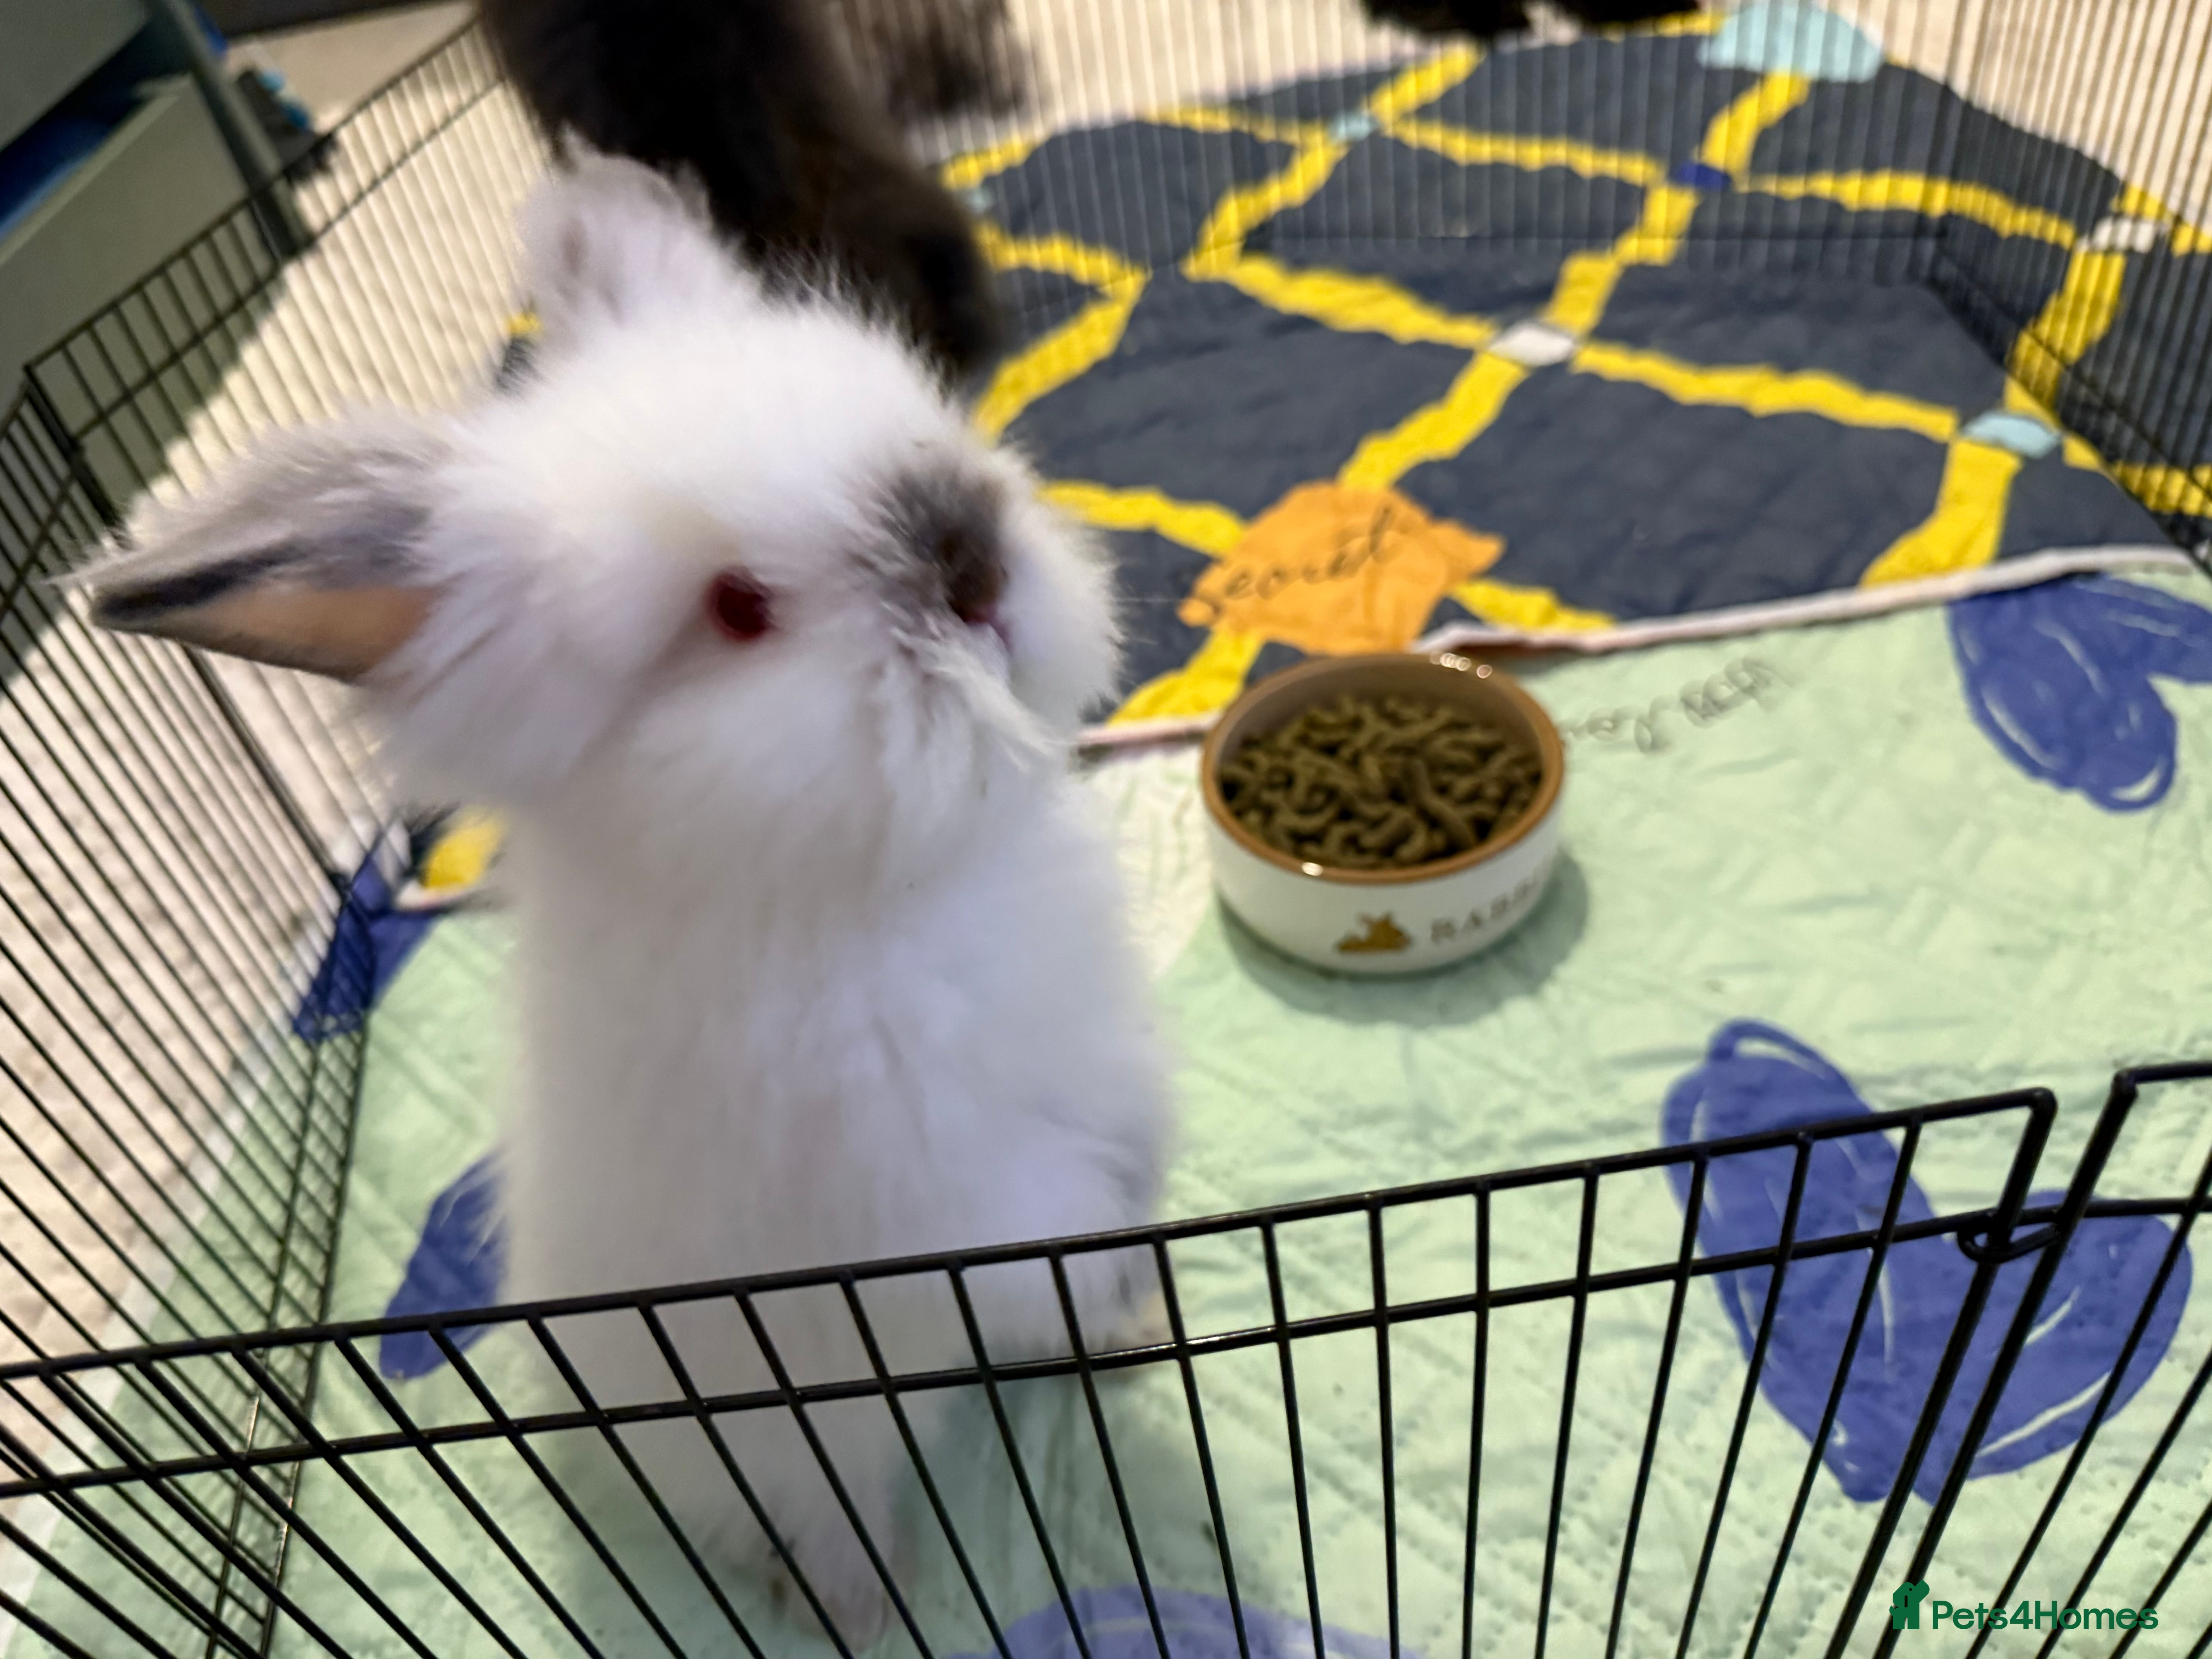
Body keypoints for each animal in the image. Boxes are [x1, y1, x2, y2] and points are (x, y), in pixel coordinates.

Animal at [75, 154, 1170, 1642]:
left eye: (912, 417)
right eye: (740, 607)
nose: (970, 557)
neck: (854, 890)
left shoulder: (1107, 1087)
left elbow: (1111, 1204)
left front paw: (1128, 1298)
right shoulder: (952, 1205)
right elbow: (1043, 1235)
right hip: (779, 1434)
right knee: (810, 1510)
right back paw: (856, 1602)